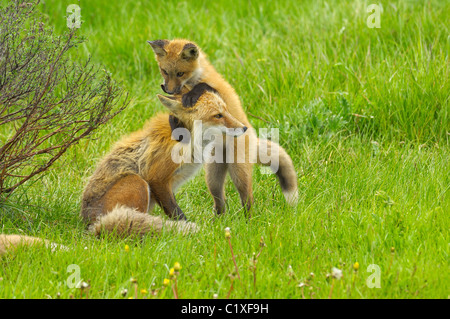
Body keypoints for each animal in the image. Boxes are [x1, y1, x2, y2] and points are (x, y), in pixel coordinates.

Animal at [148, 38, 298, 216]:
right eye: (164, 71)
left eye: (180, 73)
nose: (169, 90)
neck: (192, 82)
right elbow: (176, 115)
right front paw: (176, 126)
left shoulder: (216, 93)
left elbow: (204, 88)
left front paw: (193, 95)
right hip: (213, 179)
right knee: (220, 203)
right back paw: (218, 220)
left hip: (239, 174)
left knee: (248, 200)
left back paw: (249, 220)